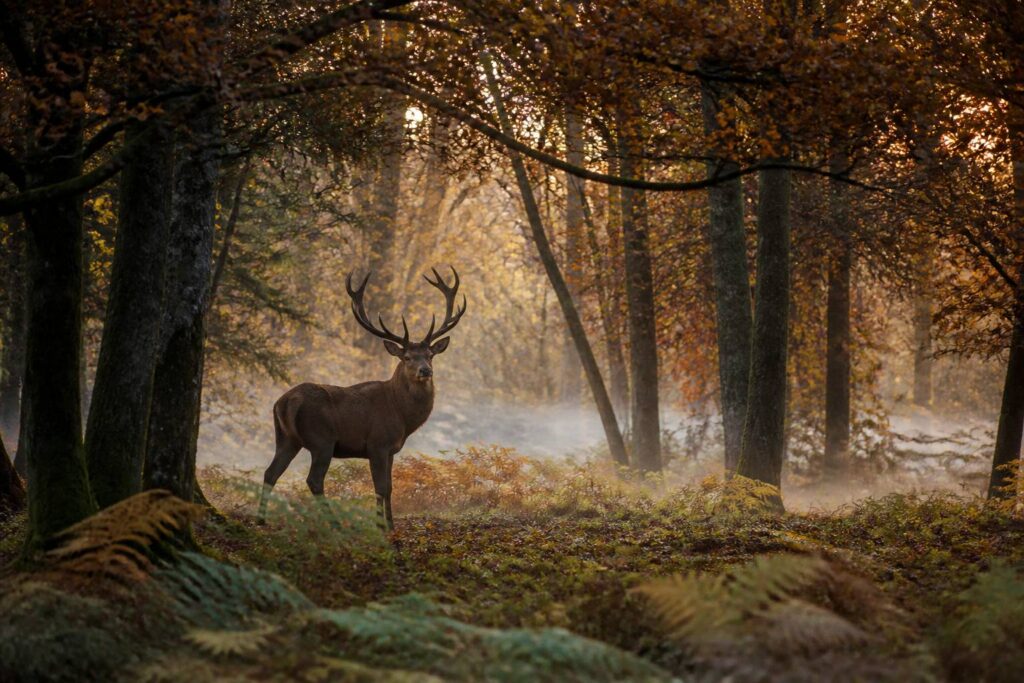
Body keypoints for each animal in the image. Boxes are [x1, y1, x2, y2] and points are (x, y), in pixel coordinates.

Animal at [257, 266, 466, 530]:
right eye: (407, 357)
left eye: (430, 355)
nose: (425, 371)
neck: (401, 415)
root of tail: (285, 402)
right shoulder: (377, 443)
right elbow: (380, 487)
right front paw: (380, 526)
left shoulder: (391, 449)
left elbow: (390, 487)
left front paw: (391, 524)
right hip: (322, 439)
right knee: (313, 480)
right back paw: (335, 524)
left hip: (285, 438)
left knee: (270, 472)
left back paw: (261, 519)